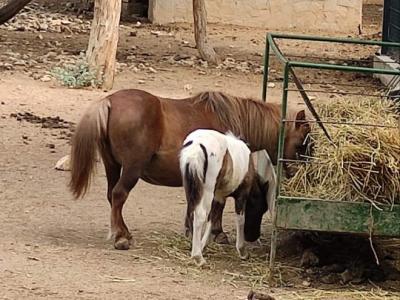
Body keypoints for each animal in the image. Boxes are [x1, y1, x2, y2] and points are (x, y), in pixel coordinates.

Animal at [69, 89, 312, 251]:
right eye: (302, 144)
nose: (302, 175)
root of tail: (109, 101)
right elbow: (217, 205)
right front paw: (217, 233)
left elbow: (192, 202)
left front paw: (190, 230)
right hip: (131, 169)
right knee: (119, 195)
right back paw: (121, 237)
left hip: (112, 165)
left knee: (112, 196)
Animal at [180, 130, 276, 266]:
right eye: (262, 208)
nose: (252, 237)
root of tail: (196, 146)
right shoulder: (241, 195)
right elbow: (240, 220)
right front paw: (242, 251)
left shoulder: (219, 196)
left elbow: (213, 218)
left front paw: (203, 245)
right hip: (207, 190)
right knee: (200, 215)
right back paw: (198, 257)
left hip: (192, 189)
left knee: (191, 213)